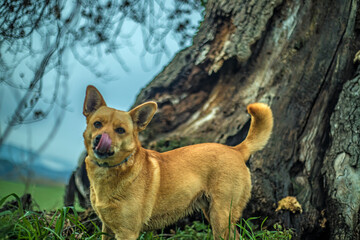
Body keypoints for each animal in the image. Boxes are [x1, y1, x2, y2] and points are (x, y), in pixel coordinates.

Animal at [81, 85, 272, 239]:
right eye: (97, 124)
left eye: (120, 130)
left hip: (221, 216)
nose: (100, 138)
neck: (111, 171)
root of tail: (236, 150)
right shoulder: (107, 229)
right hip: (213, 213)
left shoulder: (127, 232)